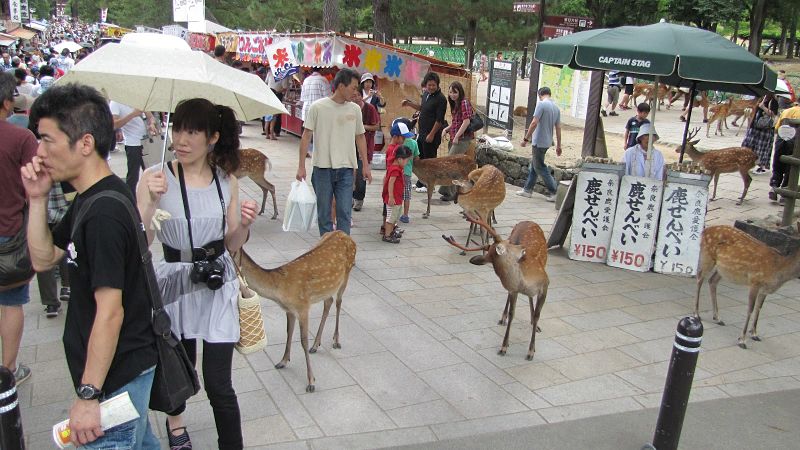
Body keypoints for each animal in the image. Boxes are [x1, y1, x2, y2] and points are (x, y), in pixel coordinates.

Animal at [233, 230, 354, 392]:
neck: (280, 288)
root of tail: (344, 234)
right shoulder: (289, 310)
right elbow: (288, 332)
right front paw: (283, 361)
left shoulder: (303, 306)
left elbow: (303, 341)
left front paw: (311, 381)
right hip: (327, 289)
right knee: (329, 301)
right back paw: (316, 345)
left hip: (346, 274)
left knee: (339, 302)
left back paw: (336, 341)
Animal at [440, 216, 548, 360]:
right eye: (509, 244)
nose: (521, 246)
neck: (524, 282)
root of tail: (528, 221)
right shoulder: (514, 290)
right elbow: (512, 314)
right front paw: (504, 347)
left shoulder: (545, 284)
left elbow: (537, 316)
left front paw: (531, 351)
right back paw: (503, 318)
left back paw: (534, 325)